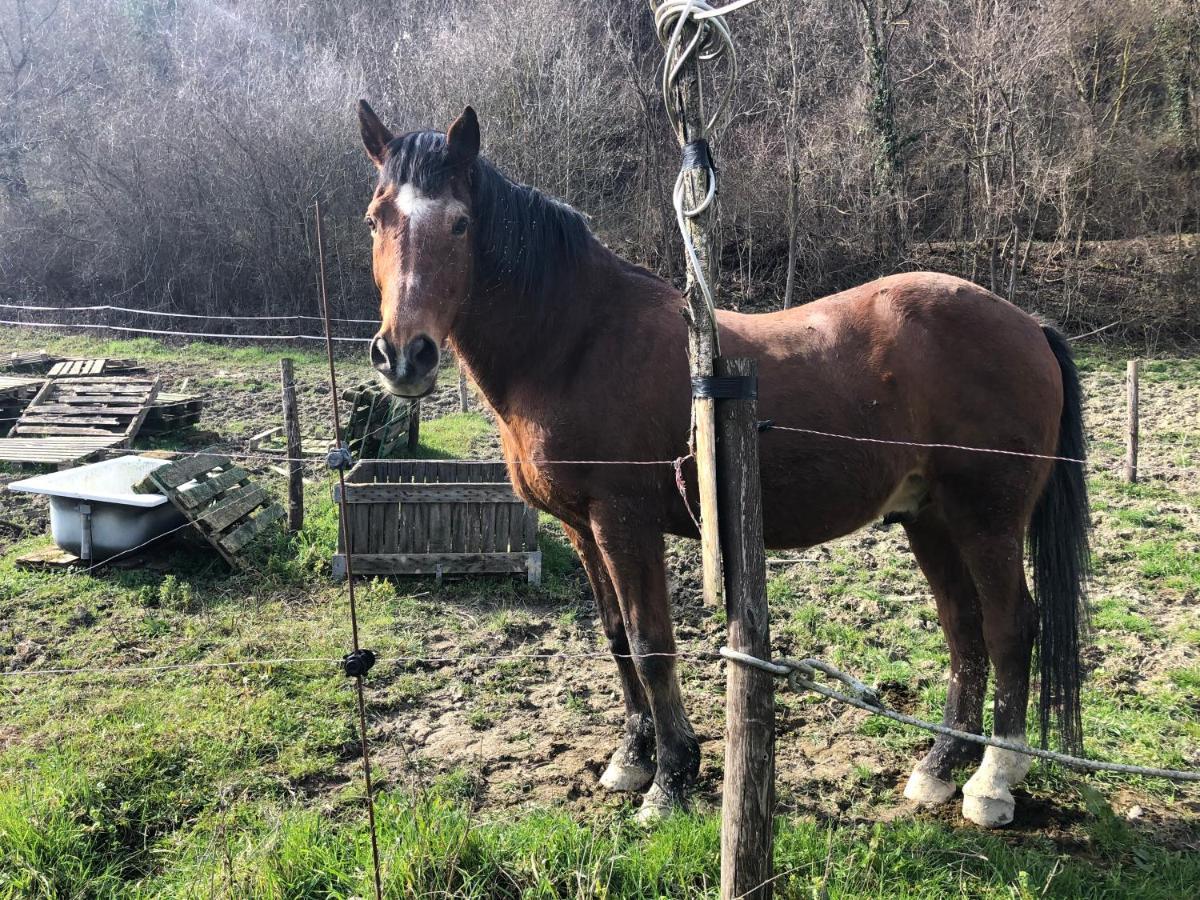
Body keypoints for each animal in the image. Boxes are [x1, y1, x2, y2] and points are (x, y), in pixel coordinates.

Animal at [352, 102, 1089, 830]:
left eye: (460, 222)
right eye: (375, 218)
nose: (404, 356)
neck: (576, 343)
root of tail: (1028, 325)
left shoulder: (624, 522)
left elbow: (650, 642)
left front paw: (672, 777)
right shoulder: (580, 528)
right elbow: (616, 637)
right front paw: (632, 758)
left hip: (985, 519)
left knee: (1010, 626)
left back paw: (993, 782)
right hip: (928, 518)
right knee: (964, 632)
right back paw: (938, 768)